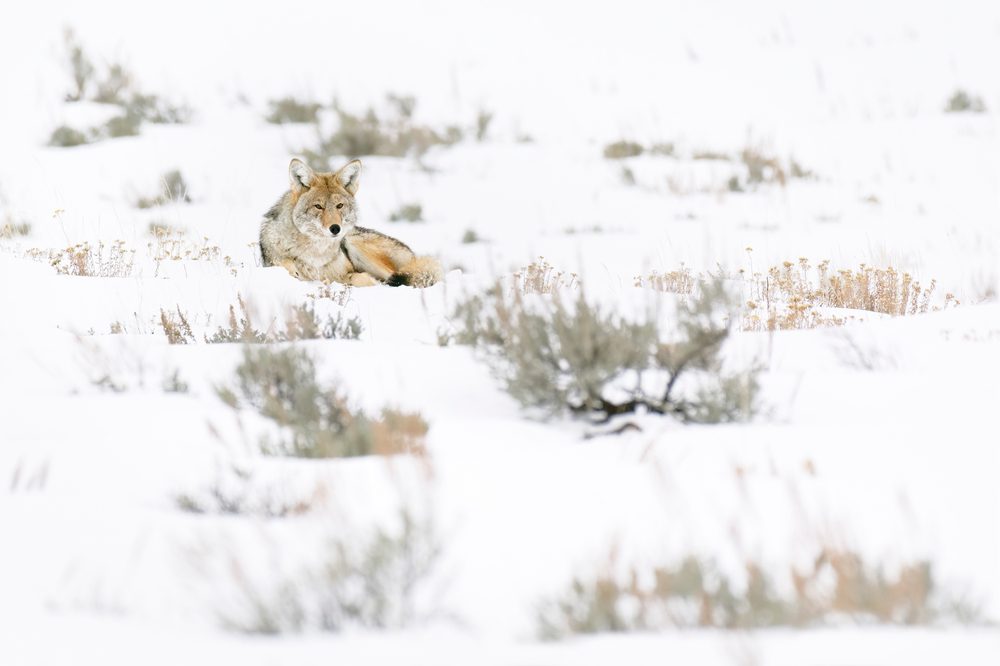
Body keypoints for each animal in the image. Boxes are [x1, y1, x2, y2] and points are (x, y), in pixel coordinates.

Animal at [259, 158, 442, 287]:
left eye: (339, 206)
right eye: (318, 206)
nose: (335, 229)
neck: (316, 253)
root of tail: (413, 254)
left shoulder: (345, 271)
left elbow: (356, 279)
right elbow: (286, 265)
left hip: (354, 243)